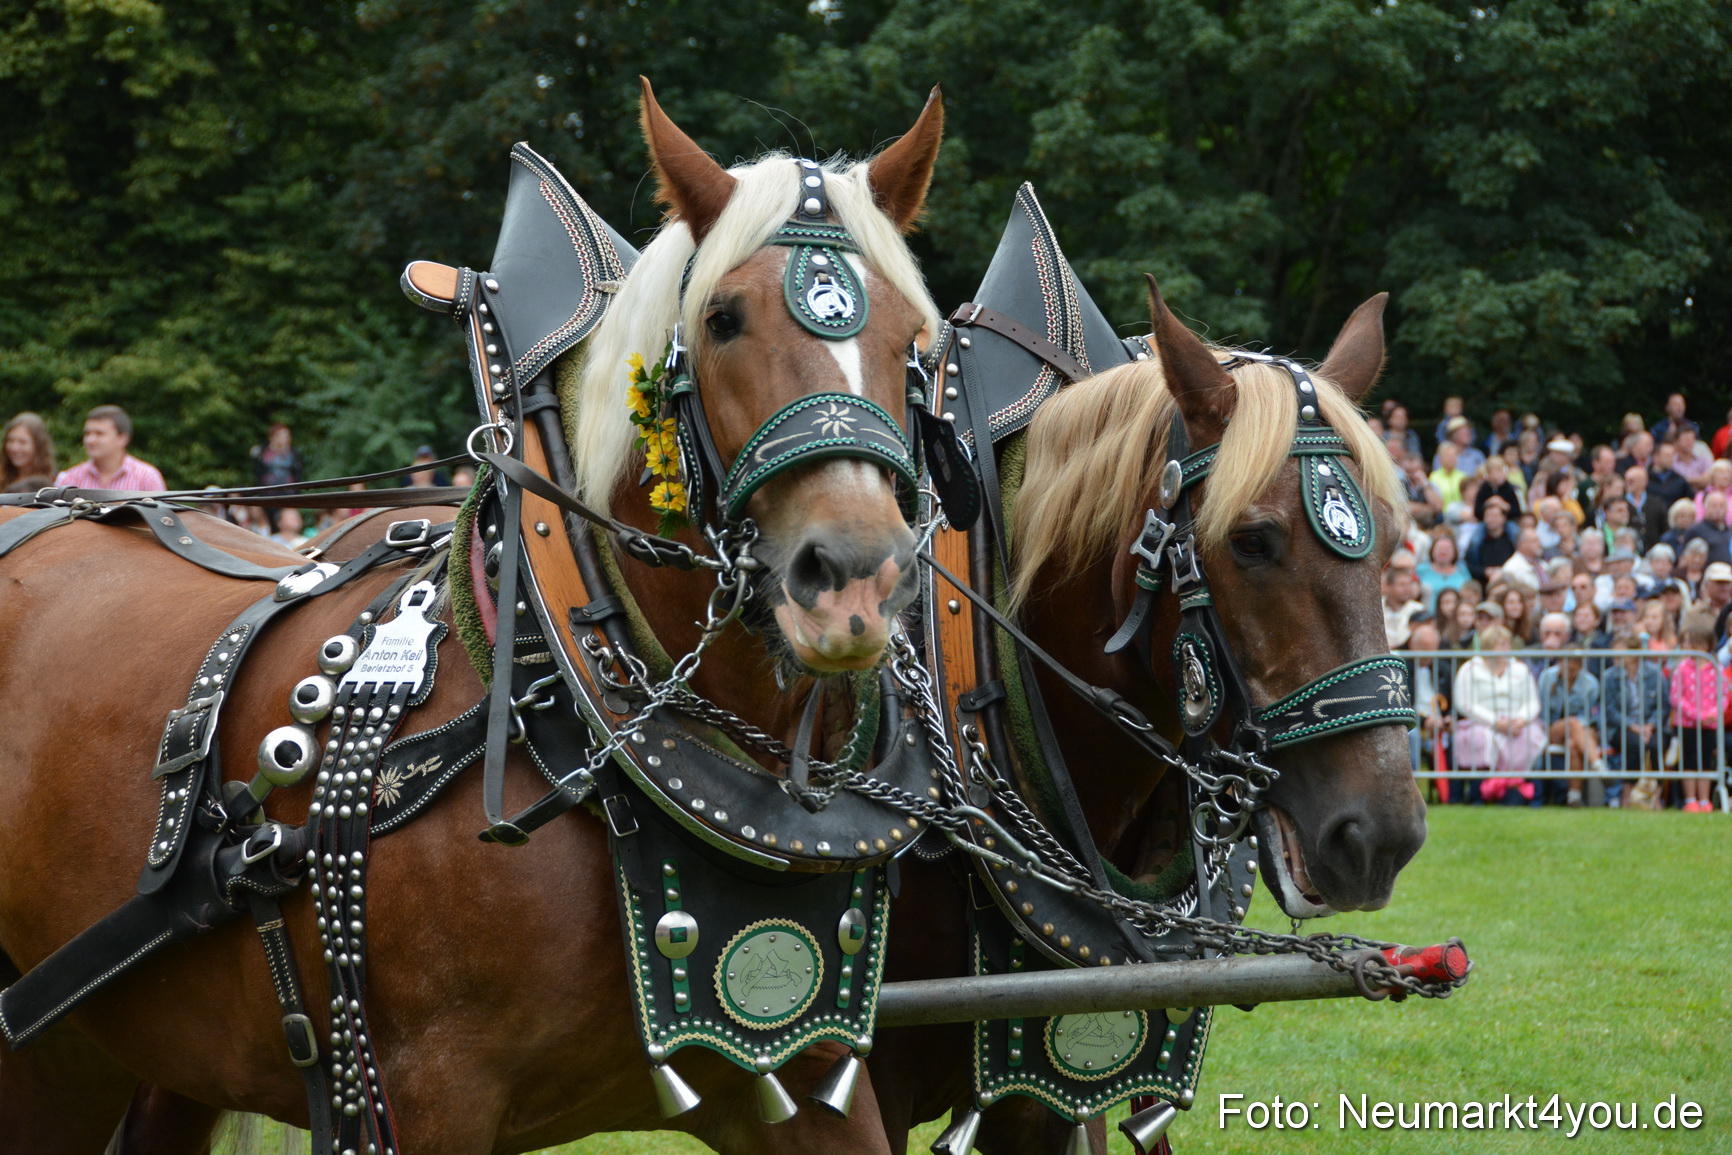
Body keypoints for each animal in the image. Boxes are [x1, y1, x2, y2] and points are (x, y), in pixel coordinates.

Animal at [0, 81, 951, 1155]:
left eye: (915, 339)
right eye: (722, 319)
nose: (856, 579)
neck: (568, 699)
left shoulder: (805, 1063)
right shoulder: (415, 1090)